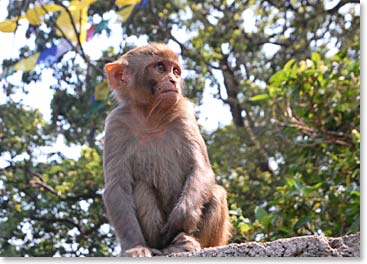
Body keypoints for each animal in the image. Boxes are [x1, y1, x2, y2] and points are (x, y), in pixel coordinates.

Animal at [102, 42, 231, 256]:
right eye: (160, 68)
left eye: (175, 71)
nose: (173, 80)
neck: (151, 117)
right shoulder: (115, 125)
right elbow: (117, 186)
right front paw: (135, 247)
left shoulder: (184, 115)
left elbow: (201, 169)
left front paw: (181, 217)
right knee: (141, 187)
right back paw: (162, 246)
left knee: (216, 193)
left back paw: (186, 241)